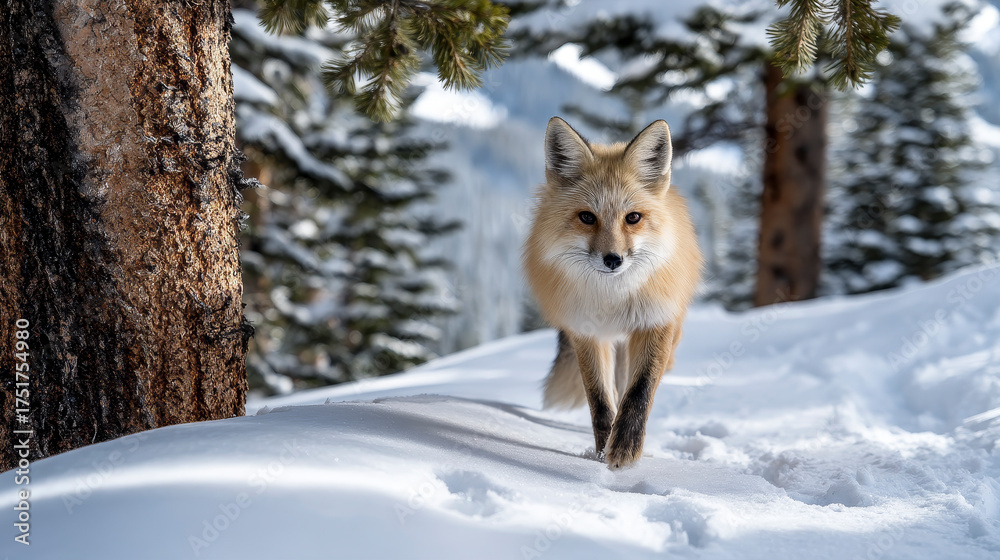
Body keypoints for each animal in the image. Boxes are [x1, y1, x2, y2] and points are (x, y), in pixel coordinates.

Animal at [524, 117, 702, 469]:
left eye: (633, 218)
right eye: (587, 217)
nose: (613, 260)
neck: (614, 298)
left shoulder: (655, 322)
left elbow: (639, 392)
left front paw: (625, 450)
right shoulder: (586, 333)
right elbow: (600, 400)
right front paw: (601, 451)